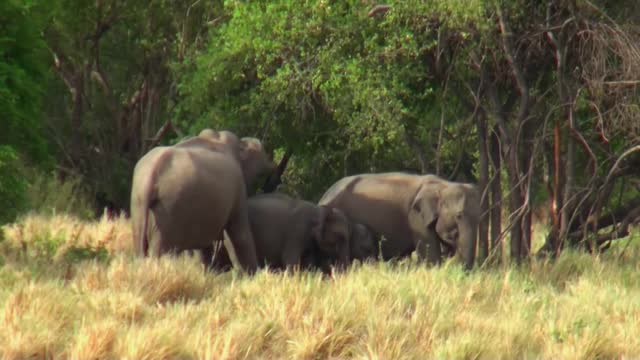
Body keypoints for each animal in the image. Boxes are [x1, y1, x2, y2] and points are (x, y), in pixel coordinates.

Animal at [129, 129, 276, 272]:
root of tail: (152, 174)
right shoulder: (238, 187)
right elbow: (239, 235)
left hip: (139, 204)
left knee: (141, 244)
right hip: (170, 207)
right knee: (162, 250)